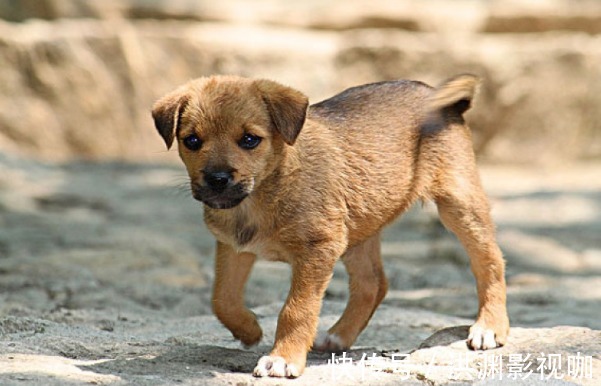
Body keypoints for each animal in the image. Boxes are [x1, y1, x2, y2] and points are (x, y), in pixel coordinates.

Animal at [152, 74, 508, 378]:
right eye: (192, 140)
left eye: (250, 140)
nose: (217, 180)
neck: (266, 191)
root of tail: (434, 94)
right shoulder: (234, 247)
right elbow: (221, 298)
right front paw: (248, 329)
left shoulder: (318, 249)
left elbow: (296, 309)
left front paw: (283, 359)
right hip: (358, 228)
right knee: (372, 284)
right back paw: (338, 336)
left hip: (459, 204)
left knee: (490, 263)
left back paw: (489, 326)